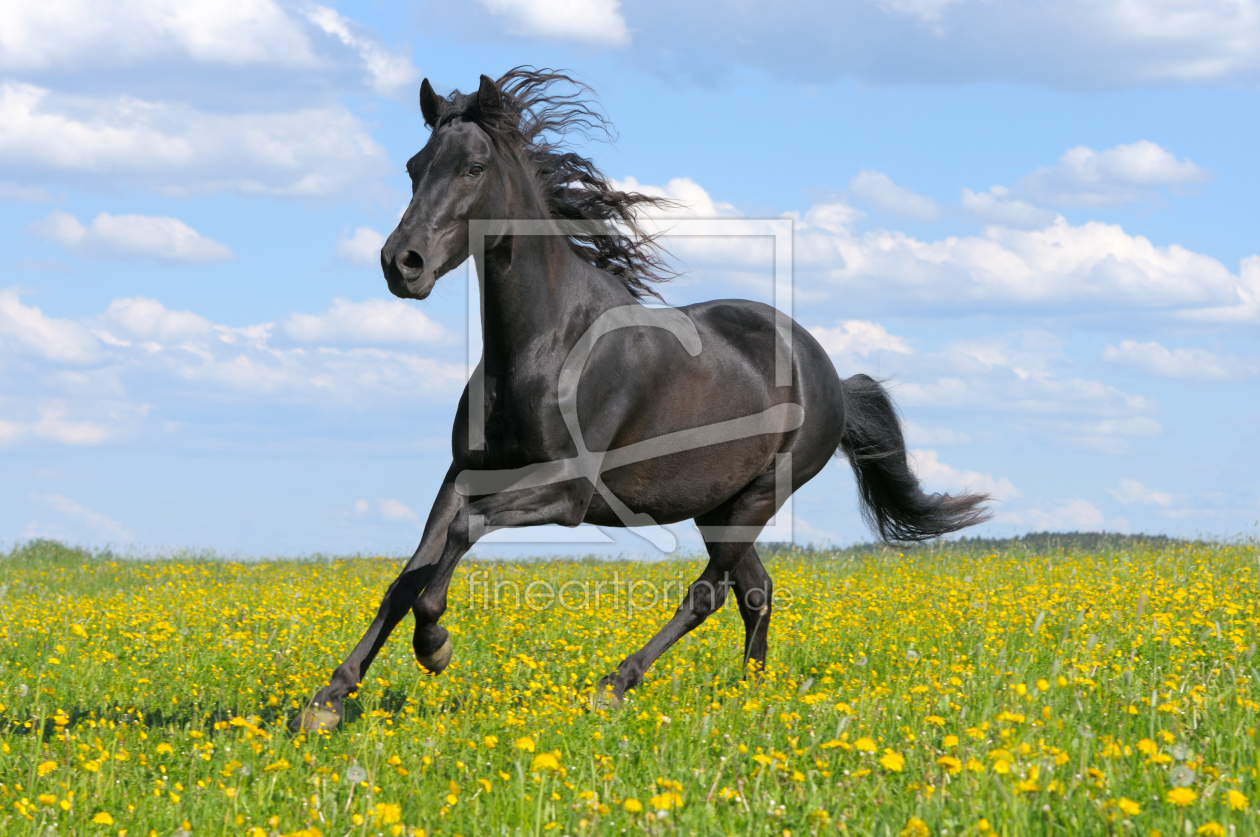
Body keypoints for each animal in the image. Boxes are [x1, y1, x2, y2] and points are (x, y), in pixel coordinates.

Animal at [297, 68, 992, 731]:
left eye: (473, 167)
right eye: (415, 166)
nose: (401, 264)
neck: (545, 344)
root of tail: (830, 376)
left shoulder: (568, 491)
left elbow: (462, 536)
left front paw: (434, 645)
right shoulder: (464, 473)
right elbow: (408, 574)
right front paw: (327, 700)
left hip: (759, 497)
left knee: (710, 594)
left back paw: (616, 683)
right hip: (721, 505)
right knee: (757, 591)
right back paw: (749, 695)